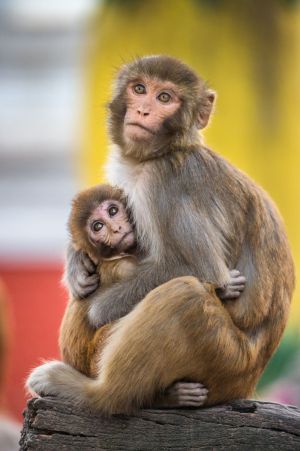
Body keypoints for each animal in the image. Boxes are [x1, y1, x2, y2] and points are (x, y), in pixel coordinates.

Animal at [60, 184, 246, 410]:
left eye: (112, 211)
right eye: (98, 226)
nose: (115, 229)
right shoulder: (124, 266)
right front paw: (222, 289)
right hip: (96, 358)